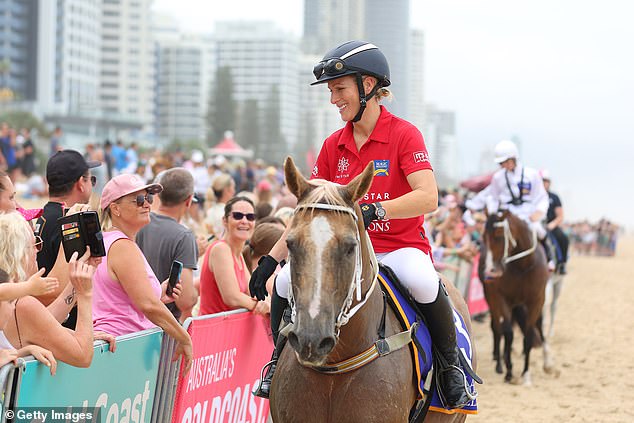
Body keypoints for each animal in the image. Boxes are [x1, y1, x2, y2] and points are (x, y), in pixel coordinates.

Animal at [482, 210, 552, 386]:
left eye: (499, 236)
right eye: (483, 237)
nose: (490, 271)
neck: (523, 266)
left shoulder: (536, 301)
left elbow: (528, 335)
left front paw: (526, 374)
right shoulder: (503, 299)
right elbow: (508, 332)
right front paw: (509, 371)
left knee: (538, 325)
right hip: (492, 299)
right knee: (497, 328)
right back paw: (499, 363)